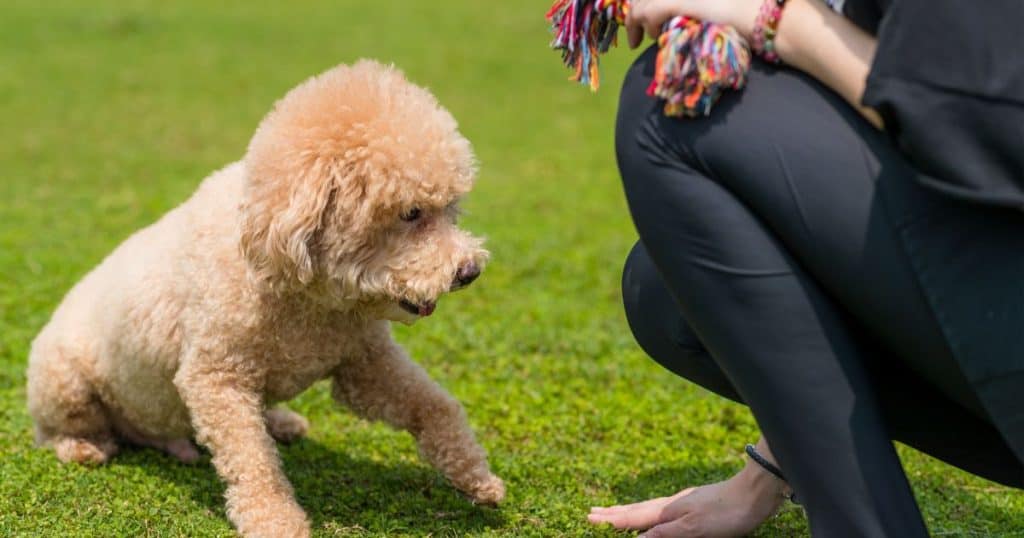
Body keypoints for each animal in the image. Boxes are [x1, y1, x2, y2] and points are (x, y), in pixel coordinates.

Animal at [24, 59, 503, 536]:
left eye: (450, 208)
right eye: (410, 213)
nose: (469, 271)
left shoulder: (364, 362)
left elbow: (436, 405)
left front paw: (476, 477)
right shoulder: (216, 377)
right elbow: (253, 461)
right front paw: (276, 520)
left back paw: (278, 422)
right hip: (62, 383)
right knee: (58, 431)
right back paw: (83, 446)